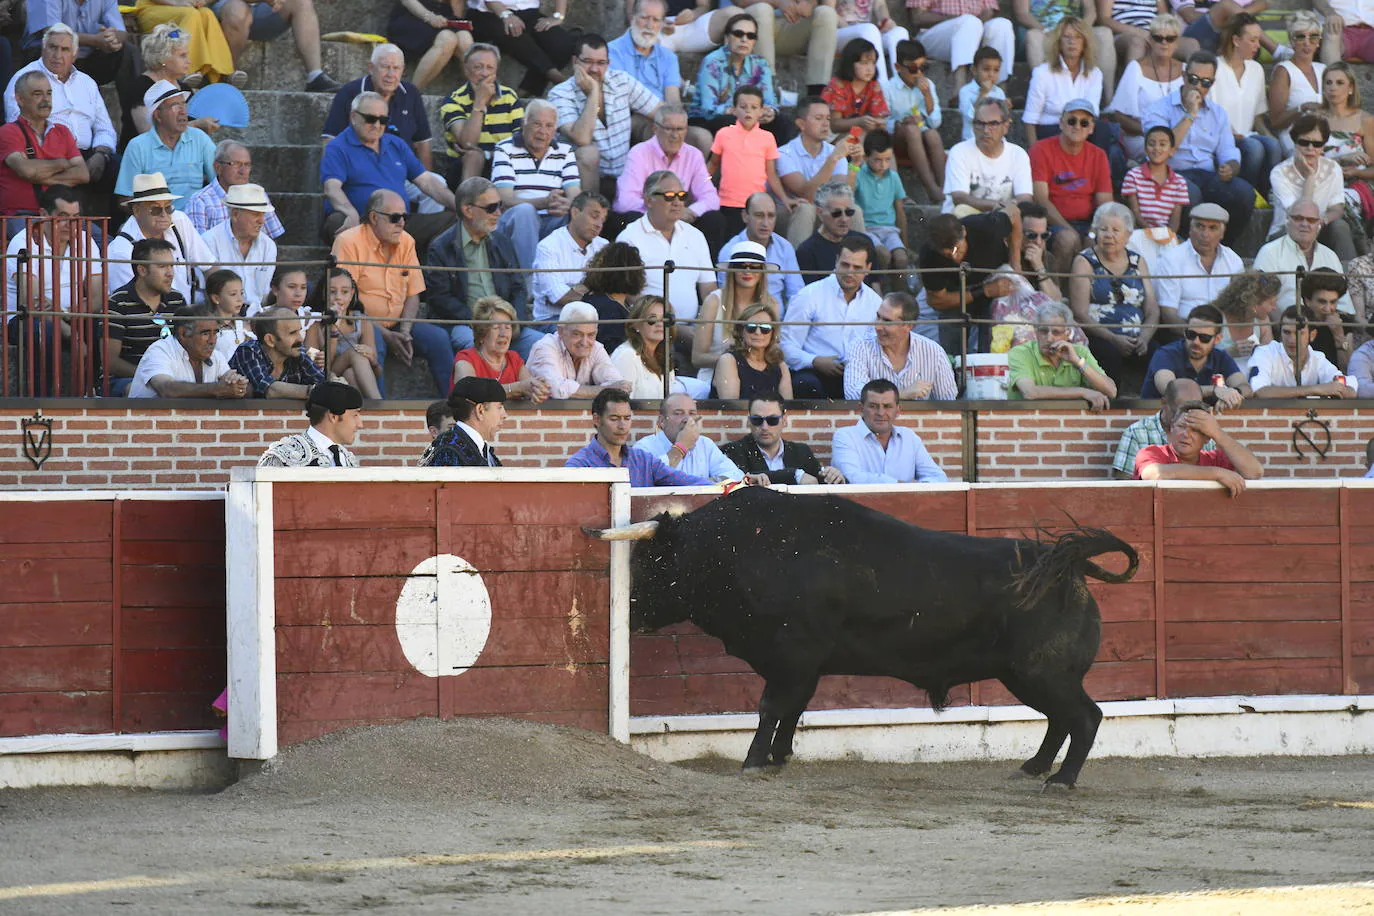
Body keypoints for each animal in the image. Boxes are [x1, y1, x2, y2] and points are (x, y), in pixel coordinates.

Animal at [590, 486, 1137, 791]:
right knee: (1061, 719)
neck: (738, 547)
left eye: (651, 563)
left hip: (1041, 672)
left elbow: (771, 706)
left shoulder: (791, 657)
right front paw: (779, 757)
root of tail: (1066, 565)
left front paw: (753, 762)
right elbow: (793, 709)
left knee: (1084, 717)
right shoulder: (804, 664)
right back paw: (1033, 768)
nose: (627, 612)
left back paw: (1061, 780)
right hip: (1029, 675)